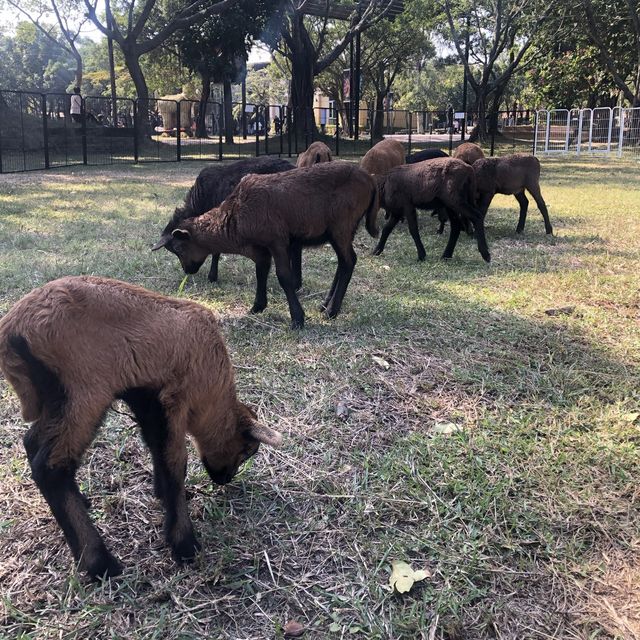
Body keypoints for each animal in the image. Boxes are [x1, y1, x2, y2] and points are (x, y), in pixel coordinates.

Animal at [0, 276, 280, 580]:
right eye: (247, 450)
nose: (225, 480)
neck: (213, 390)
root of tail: (12, 332)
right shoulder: (175, 397)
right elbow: (175, 462)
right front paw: (184, 543)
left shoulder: (147, 398)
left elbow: (157, 447)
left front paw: (162, 495)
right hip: (82, 392)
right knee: (50, 467)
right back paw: (99, 563)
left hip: (57, 400)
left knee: (32, 442)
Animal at [152, 160, 378, 330]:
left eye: (178, 249)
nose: (187, 270)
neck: (233, 219)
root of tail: (370, 179)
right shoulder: (260, 248)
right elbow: (261, 272)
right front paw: (257, 307)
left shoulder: (276, 240)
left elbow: (284, 277)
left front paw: (297, 319)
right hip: (341, 230)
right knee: (342, 263)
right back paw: (325, 305)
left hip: (341, 224)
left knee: (349, 261)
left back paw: (331, 311)